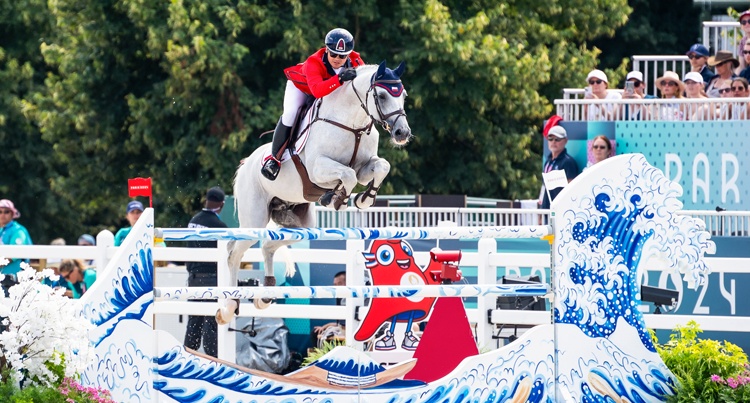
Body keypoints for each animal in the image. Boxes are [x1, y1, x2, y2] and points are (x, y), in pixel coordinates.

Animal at [229, 60, 414, 300]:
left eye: (404, 95)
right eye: (382, 96)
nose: (402, 133)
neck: (352, 125)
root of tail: (245, 165)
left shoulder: (364, 168)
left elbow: (381, 167)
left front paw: (363, 199)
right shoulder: (318, 169)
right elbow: (347, 175)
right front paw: (337, 199)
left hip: (301, 225)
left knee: (267, 245)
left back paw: (265, 293)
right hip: (255, 219)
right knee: (233, 252)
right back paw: (229, 302)